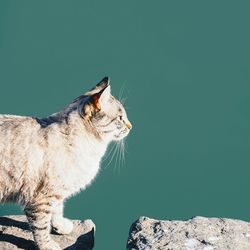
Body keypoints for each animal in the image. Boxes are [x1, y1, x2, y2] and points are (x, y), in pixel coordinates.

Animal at [0, 77, 131, 249]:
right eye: (121, 119)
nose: (131, 126)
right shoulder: (40, 198)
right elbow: (41, 226)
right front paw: (47, 245)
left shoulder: (57, 191)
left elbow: (57, 209)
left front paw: (60, 226)